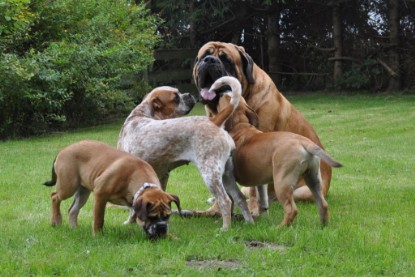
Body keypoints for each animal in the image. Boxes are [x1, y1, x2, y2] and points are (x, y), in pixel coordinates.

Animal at [41, 140, 182, 237]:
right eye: (151, 217)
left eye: (167, 216)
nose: (162, 228)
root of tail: (63, 150)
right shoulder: (100, 194)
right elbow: (99, 219)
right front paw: (98, 236)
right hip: (68, 186)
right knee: (54, 196)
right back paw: (56, 221)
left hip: (83, 192)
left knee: (72, 210)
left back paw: (74, 228)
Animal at [117, 86, 254, 229]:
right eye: (175, 98)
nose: (189, 94)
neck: (139, 115)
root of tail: (214, 122)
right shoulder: (162, 176)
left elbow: (133, 207)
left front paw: (130, 222)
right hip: (226, 175)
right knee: (239, 198)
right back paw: (249, 222)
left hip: (210, 175)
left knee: (225, 201)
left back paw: (225, 228)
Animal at [207, 76, 342, 225]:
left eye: (222, 98)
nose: (222, 91)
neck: (240, 126)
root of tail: (305, 143)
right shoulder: (260, 182)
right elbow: (262, 200)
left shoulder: (227, 179)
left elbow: (230, 200)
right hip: (313, 180)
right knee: (323, 204)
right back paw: (323, 225)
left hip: (282, 183)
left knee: (291, 209)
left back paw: (280, 226)